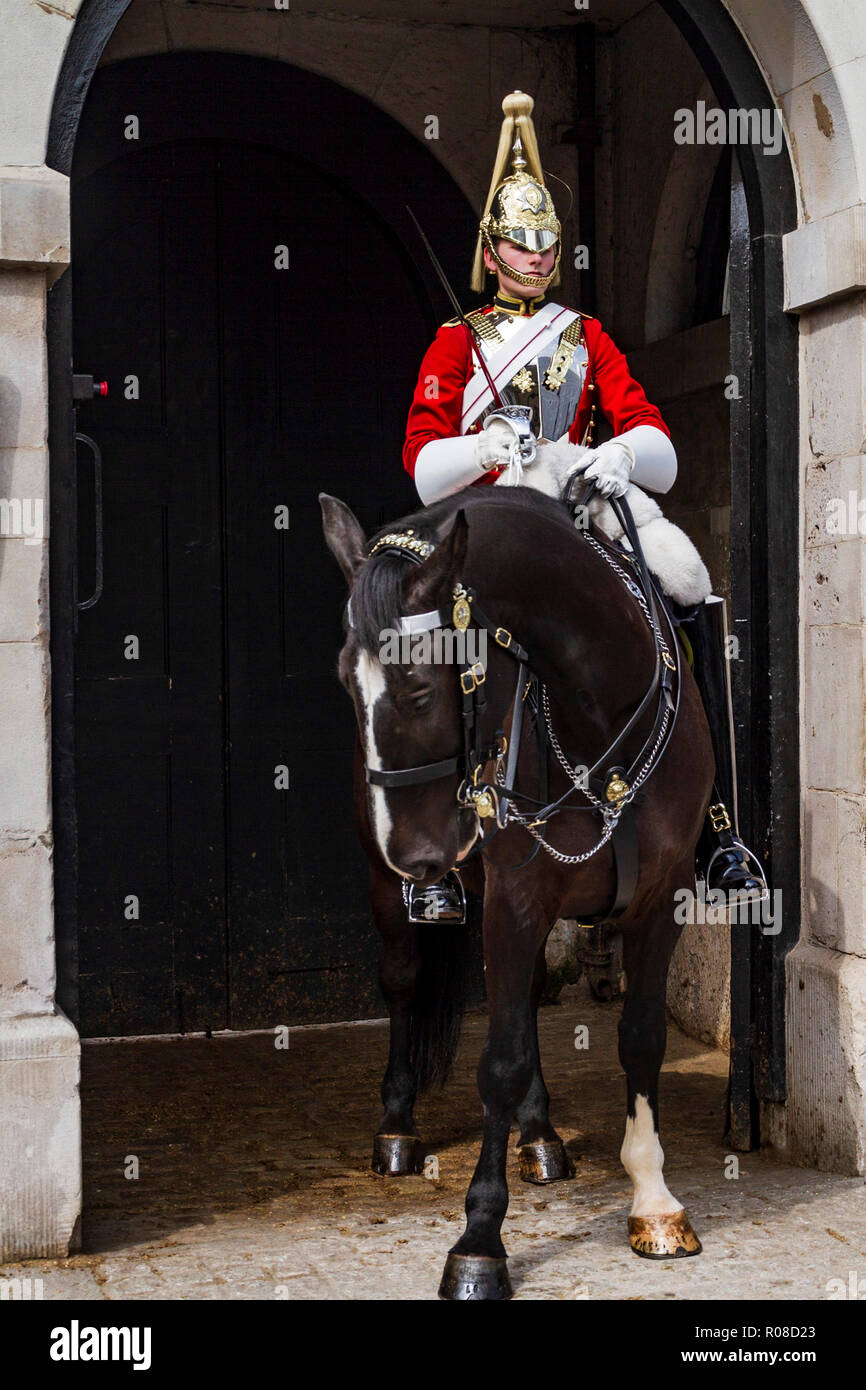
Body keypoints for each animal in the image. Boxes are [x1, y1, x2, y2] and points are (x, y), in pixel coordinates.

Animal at [322, 483, 717, 1295]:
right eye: (345, 680)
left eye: (418, 689)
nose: (417, 856)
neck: (597, 708)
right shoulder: (513, 901)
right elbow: (496, 1064)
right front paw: (480, 1238)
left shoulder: (659, 899)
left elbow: (641, 1037)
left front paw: (655, 1201)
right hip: (390, 891)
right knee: (404, 980)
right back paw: (398, 1124)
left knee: (530, 996)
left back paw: (539, 1135)